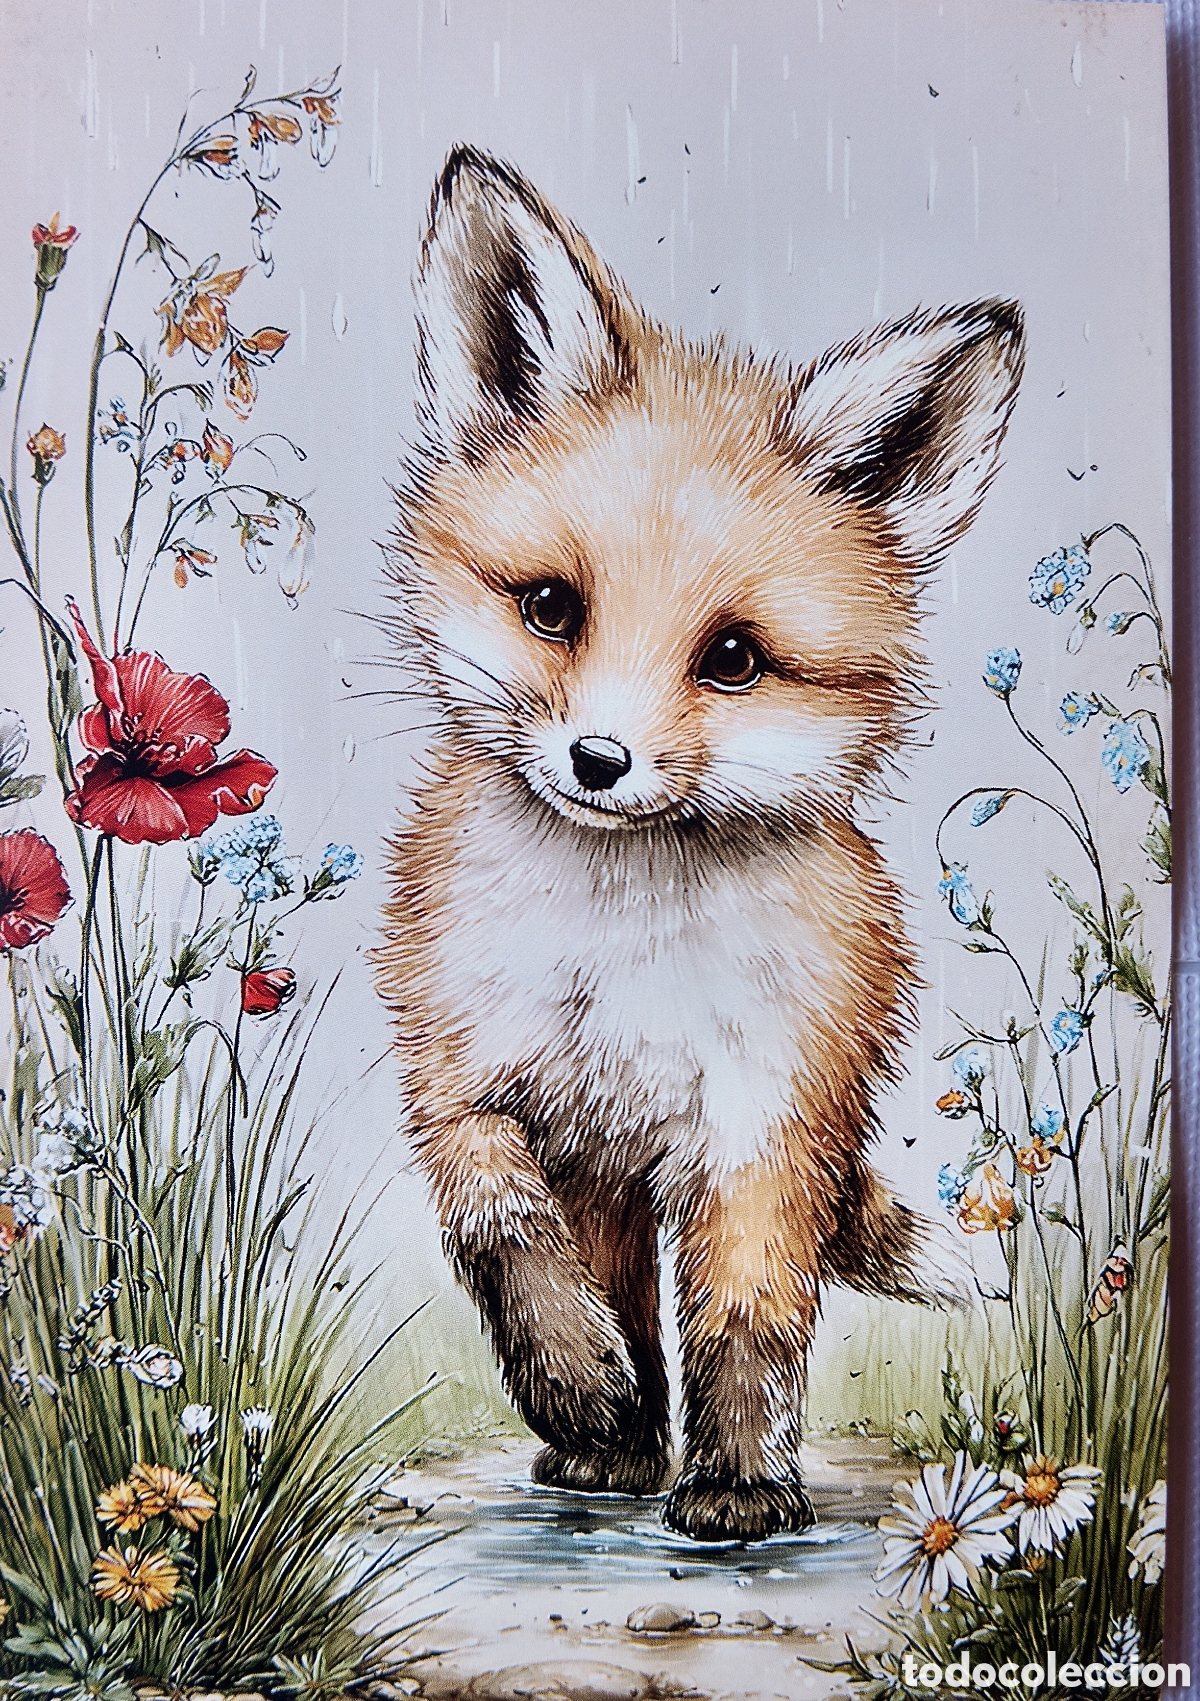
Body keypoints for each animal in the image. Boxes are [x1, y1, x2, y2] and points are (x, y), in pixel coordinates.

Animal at [375, 145, 1024, 1543]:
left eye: (731, 658)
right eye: (551, 607)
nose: (598, 763)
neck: (616, 956)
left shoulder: (764, 1115)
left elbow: (748, 1314)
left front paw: (737, 1482)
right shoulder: (469, 1082)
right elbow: (508, 1243)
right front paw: (583, 1396)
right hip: (604, 1169)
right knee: (610, 1283)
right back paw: (610, 1442)